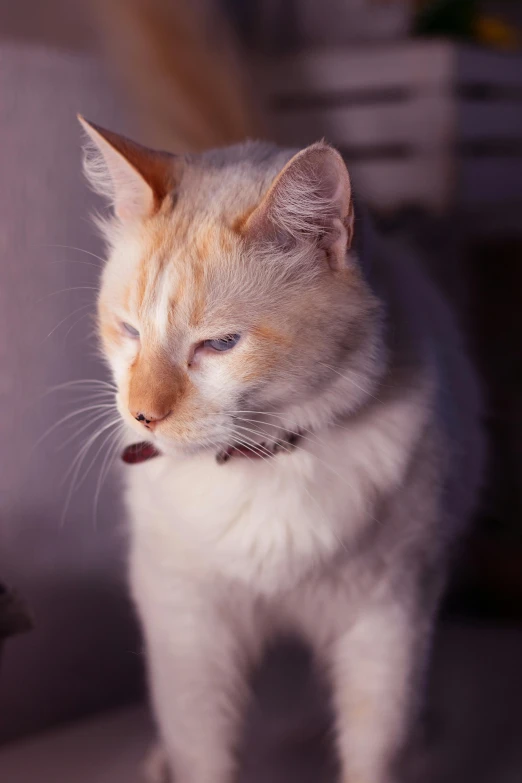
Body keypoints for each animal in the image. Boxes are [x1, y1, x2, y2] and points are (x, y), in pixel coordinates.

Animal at [78, 118, 484, 783]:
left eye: (220, 345)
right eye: (130, 332)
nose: (144, 416)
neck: (263, 461)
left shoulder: (386, 620)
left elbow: (376, 747)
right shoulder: (190, 626)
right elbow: (202, 750)